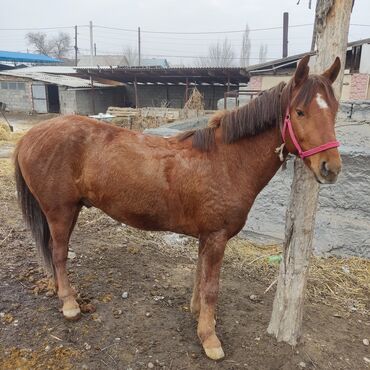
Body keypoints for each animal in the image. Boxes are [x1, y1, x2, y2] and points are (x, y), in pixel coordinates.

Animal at [16, 56, 342, 360]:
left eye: (334, 110)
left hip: (70, 210)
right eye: (300, 112)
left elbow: (200, 276)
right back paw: (70, 304)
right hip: (60, 211)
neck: (227, 161)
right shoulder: (217, 237)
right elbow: (212, 287)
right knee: (59, 254)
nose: (331, 168)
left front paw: (198, 314)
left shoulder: (207, 236)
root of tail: (30, 136)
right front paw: (210, 339)